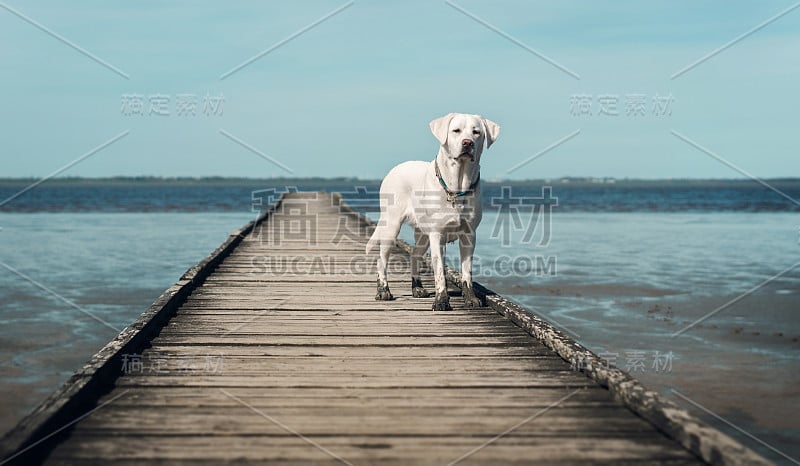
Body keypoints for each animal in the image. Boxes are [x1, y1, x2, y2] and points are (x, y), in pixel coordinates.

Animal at [364, 112, 500, 310]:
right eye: (456, 130)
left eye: (476, 132)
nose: (468, 143)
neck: (457, 186)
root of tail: (395, 169)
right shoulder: (437, 235)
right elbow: (440, 272)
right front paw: (442, 300)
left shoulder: (469, 235)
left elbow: (466, 271)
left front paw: (471, 298)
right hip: (391, 226)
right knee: (382, 259)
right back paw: (383, 290)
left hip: (422, 234)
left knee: (415, 255)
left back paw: (417, 288)